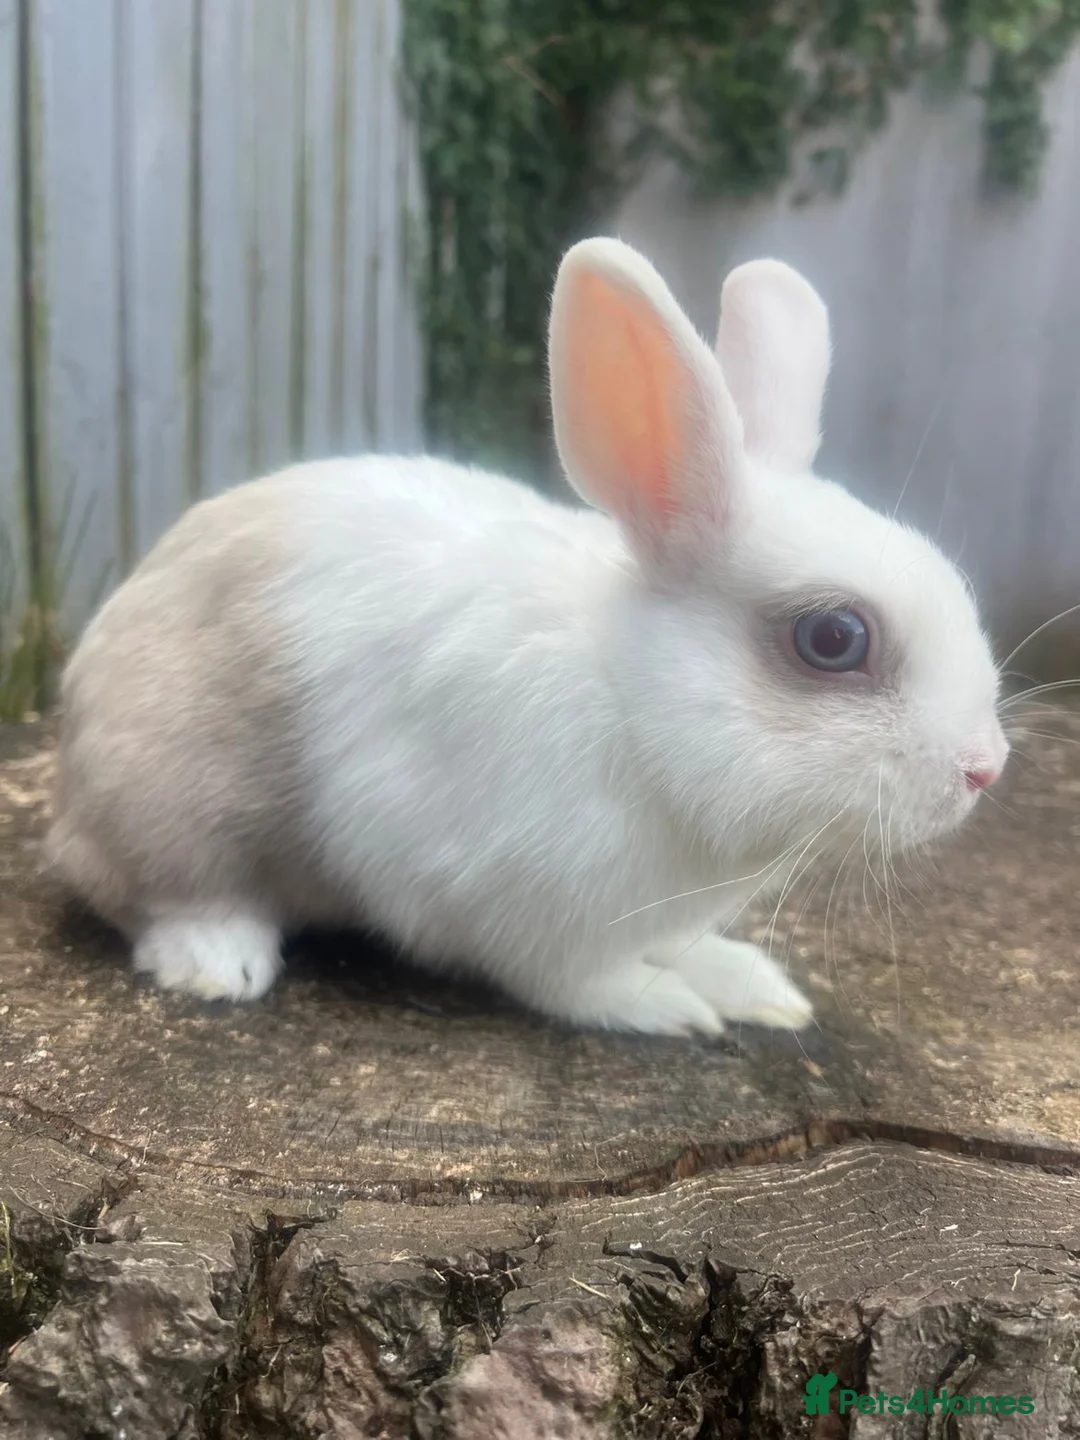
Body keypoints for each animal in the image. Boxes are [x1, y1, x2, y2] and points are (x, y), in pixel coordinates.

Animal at [46, 237, 1008, 1036]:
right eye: (834, 638)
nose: (985, 769)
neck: (632, 700)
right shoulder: (515, 903)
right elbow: (572, 983)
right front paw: (669, 1007)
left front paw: (751, 986)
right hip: (171, 808)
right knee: (159, 896)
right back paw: (220, 964)